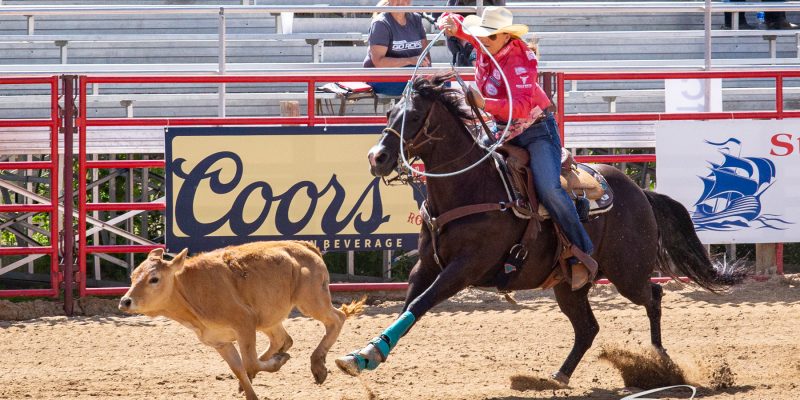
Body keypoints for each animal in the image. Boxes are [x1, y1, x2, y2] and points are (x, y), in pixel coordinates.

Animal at [119, 241, 366, 400]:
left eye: (154, 279)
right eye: (132, 276)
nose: (125, 301)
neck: (190, 290)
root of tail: (306, 246)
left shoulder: (244, 323)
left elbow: (250, 362)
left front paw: (278, 362)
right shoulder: (220, 342)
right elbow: (239, 367)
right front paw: (248, 387)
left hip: (311, 300)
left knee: (336, 319)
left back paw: (318, 364)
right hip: (270, 318)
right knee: (283, 340)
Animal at [334, 73, 740, 386]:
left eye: (415, 115)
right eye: (390, 113)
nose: (377, 157)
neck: (471, 184)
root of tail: (641, 192)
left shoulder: (465, 268)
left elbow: (420, 303)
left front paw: (368, 352)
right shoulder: (428, 265)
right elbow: (409, 306)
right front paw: (366, 353)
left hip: (628, 273)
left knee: (653, 297)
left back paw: (661, 362)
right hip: (569, 286)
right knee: (588, 328)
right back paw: (559, 375)